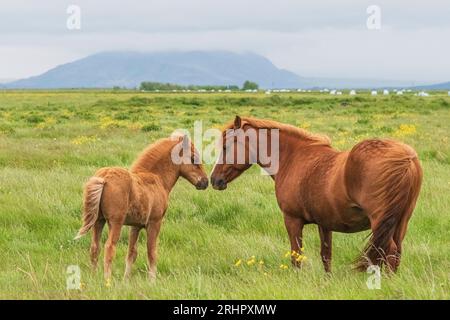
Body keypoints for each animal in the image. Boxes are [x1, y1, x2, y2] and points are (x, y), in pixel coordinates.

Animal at [74, 134, 208, 282]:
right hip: (116, 222)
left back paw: (93, 278)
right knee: (109, 248)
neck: (156, 178)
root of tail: (104, 177)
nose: (205, 182)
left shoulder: (135, 226)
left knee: (95, 248)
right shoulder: (155, 222)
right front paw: (152, 280)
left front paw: (126, 280)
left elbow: (132, 253)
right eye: (193, 158)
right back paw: (107, 281)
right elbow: (152, 252)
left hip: (99, 220)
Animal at [211, 116, 422, 272]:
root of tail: (407, 159)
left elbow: (296, 257)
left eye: (225, 147)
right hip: (400, 223)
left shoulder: (292, 220)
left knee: (390, 253)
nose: (214, 180)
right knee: (397, 252)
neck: (292, 157)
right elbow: (326, 256)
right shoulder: (325, 224)